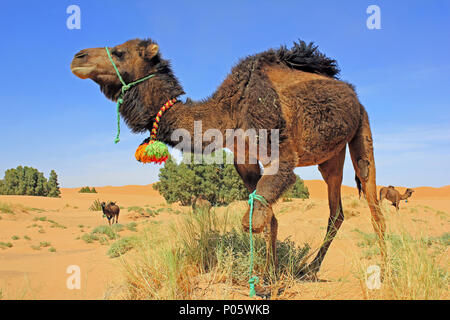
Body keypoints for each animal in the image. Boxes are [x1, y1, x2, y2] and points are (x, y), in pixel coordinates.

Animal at [71, 37, 386, 278]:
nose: (78, 56)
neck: (227, 111)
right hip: (330, 156)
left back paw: (385, 268)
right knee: (336, 211)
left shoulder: (279, 150)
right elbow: (267, 217)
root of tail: (353, 95)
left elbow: (254, 219)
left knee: (373, 200)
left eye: (119, 52)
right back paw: (309, 269)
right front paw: (270, 275)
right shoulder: (244, 159)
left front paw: (268, 277)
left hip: (362, 129)